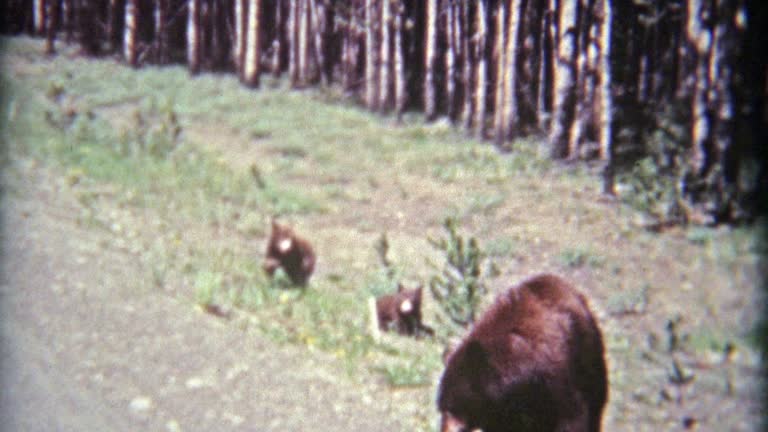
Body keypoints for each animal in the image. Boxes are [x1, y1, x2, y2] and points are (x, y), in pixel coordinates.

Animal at [436, 274, 608, 432]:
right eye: (441, 407)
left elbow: (573, 414)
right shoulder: (503, 409)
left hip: (589, 355)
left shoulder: (557, 375)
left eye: (451, 408)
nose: (444, 429)